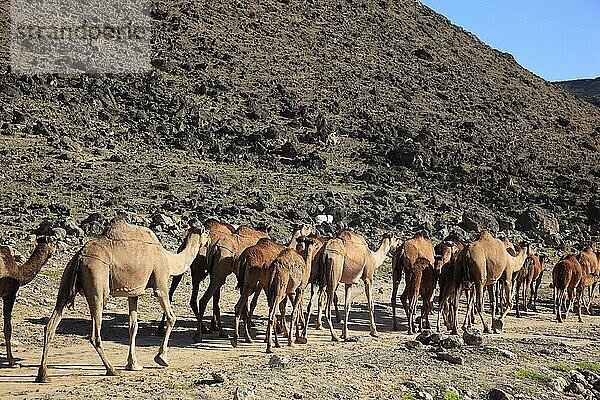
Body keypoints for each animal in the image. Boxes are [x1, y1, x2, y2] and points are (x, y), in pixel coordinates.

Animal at [0, 236, 56, 368]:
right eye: (54, 242)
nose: (57, 249)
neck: (19, 272)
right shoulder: (9, 294)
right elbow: (8, 328)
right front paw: (12, 361)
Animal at [35, 217, 210, 382]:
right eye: (206, 232)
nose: (208, 240)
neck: (168, 258)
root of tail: (79, 258)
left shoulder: (133, 293)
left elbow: (133, 326)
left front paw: (133, 364)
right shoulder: (160, 285)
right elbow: (171, 317)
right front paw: (161, 358)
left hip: (65, 284)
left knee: (50, 326)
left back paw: (43, 375)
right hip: (97, 286)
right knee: (94, 334)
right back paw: (111, 370)